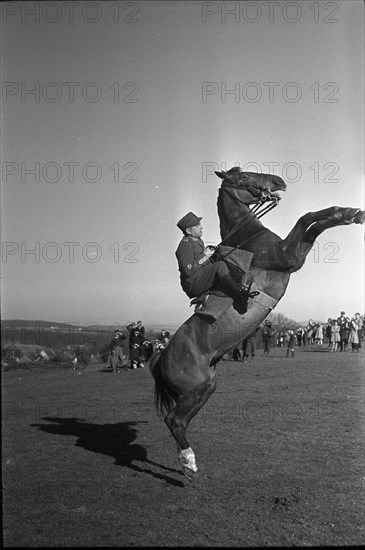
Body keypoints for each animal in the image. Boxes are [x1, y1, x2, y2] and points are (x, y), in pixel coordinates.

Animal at [147, 169, 362, 484]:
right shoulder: (287, 256)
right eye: (245, 177)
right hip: (196, 387)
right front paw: (350, 213)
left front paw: (349, 213)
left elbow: (314, 224)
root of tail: (159, 359)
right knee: (173, 420)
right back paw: (188, 463)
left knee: (179, 422)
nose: (279, 182)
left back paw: (187, 464)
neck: (249, 238)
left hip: (204, 388)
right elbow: (307, 218)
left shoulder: (294, 257)